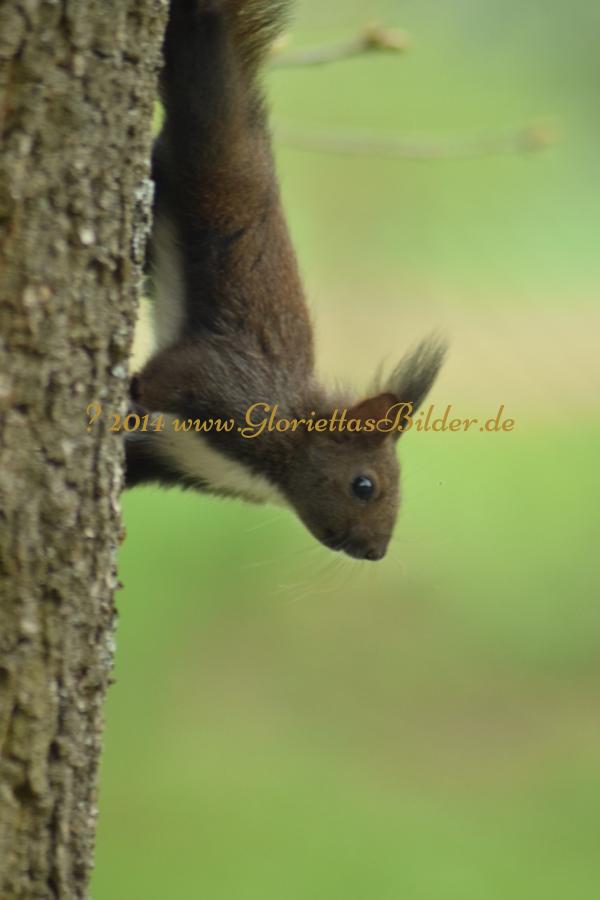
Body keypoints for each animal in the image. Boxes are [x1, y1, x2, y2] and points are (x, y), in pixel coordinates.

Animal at [126, 0, 446, 562]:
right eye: (364, 485)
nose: (375, 552)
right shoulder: (229, 384)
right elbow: (175, 370)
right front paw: (129, 387)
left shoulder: (173, 454)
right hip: (207, 144)